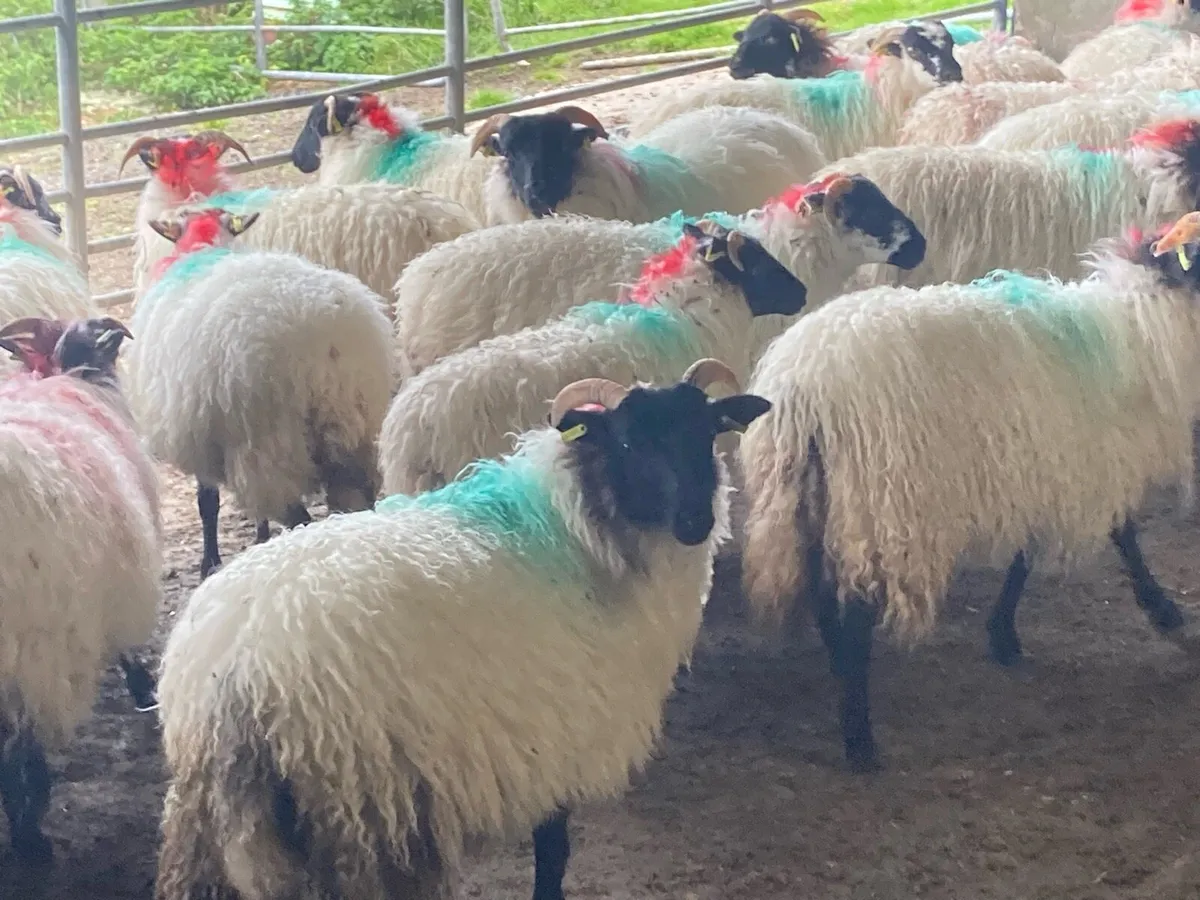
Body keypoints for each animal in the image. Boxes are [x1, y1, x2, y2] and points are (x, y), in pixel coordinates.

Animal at [127, 208, 393, 579]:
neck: (203, 245)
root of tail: (324, 337)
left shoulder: (202, 435)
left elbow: (207, 503)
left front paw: (210, 563)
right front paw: (258, 535)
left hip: (266, 442)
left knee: (299, 518)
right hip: (355, 433)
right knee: (357, 503)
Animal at [154, 359, 771, 900]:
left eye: (708, 433)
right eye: (627, 444)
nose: (695, 520)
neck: (583, 530)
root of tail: (230, 672)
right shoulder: (555, 741)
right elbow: (553, 853)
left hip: (203, 828)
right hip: (362, 819)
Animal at [738, 211, 1200, 772]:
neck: (1140, 327)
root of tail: (802, 386)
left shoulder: (1042, 468)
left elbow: (1027, 554)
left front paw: (1003, 636)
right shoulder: (1086, 461)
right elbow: (1123, 538)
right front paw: (1165, 613)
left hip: (812, 492)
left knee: (826, 595)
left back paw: (842, 678)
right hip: (879, 498)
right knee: (857, 608)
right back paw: (860, 742)